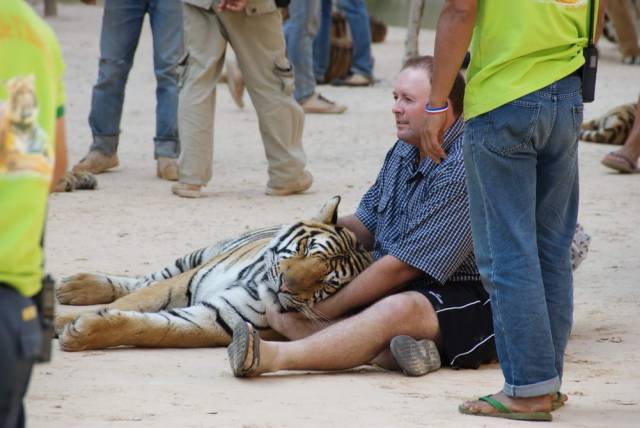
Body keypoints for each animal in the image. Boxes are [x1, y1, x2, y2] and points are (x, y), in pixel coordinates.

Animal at [57, 197, 372, 352]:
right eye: (305, 249)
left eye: (326, 283)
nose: (285, 286)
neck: (255, 283)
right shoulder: (182, 284)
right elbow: (132, 301)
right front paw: (65, 322)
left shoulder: (214, 318)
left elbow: (153, 327)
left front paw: (80, 332)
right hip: (199, 256)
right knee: (144, 280)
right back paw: (73, 287)